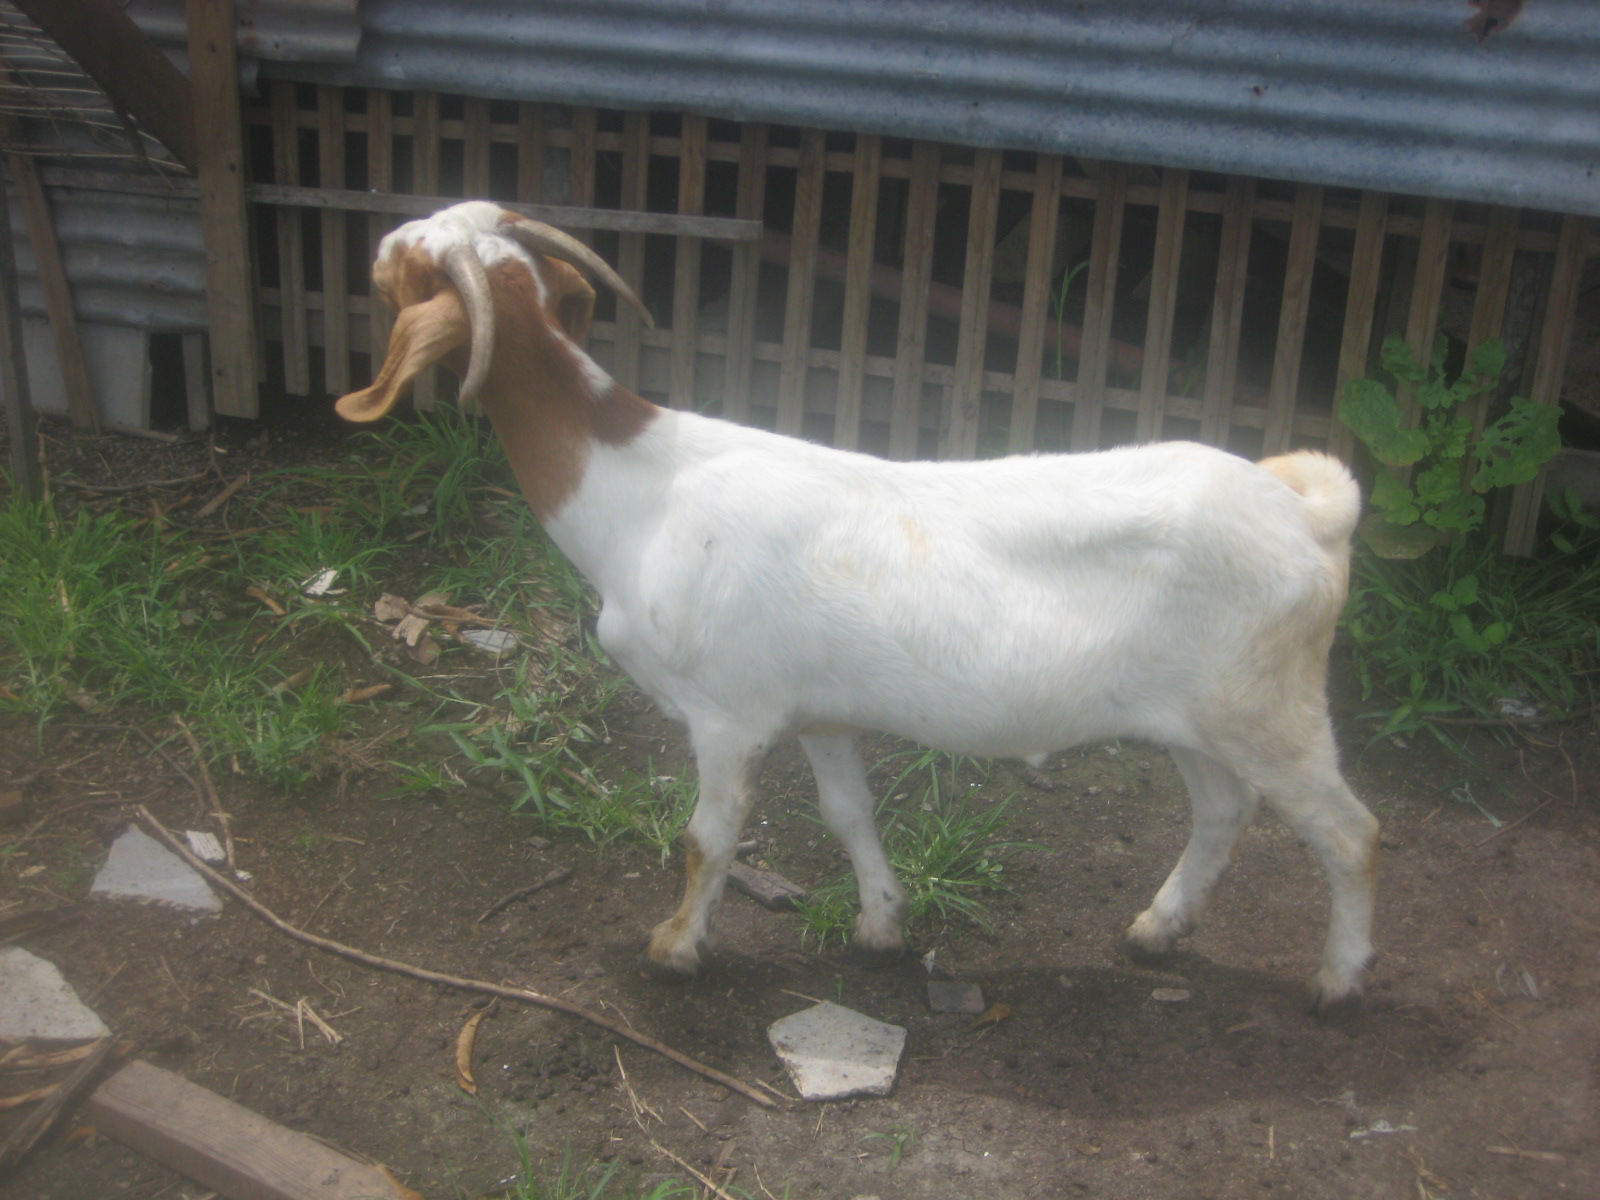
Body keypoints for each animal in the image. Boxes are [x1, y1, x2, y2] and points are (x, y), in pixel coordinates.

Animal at [336, 201, 1380, 1013]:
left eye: (413, 263)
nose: (376, 243)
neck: (637, 488)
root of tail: (1304, 512)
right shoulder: (819, 712)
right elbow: (849, 813)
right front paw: (882, 926)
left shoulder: (728, 715)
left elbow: (707, 839)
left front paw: (675, 949)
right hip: (1198, 716)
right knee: (1224, 809)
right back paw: (1157, 930)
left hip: (1270, 708)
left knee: (1349, 833)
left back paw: (1339, 981)